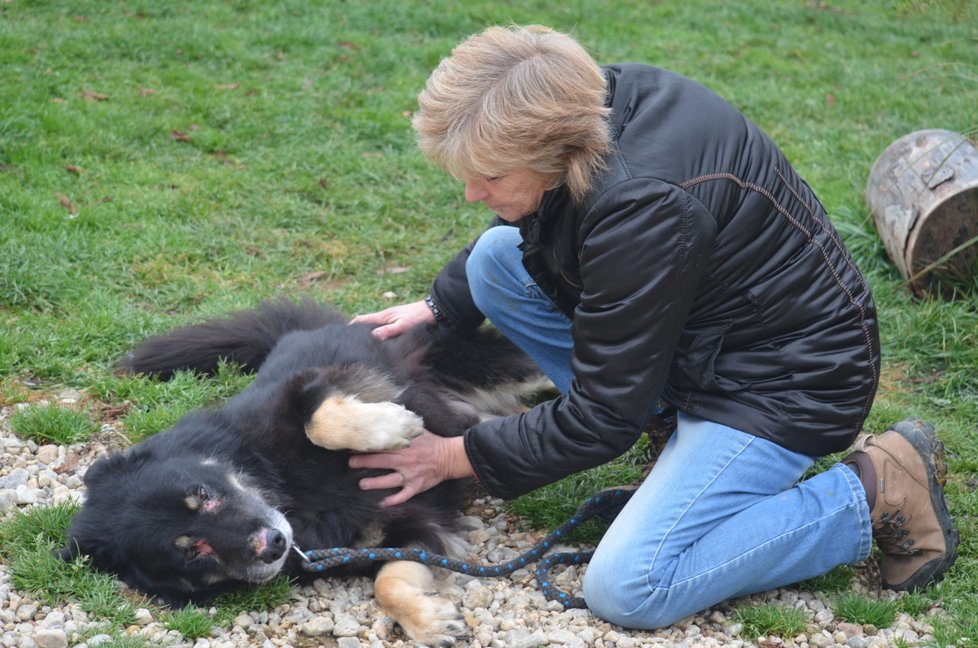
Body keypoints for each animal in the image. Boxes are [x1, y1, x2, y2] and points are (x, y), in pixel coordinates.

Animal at [59, 302, 540, 644]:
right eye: (191, 551)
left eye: (204, 494)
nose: (273, 544)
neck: (287, 491)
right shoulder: (398, 535)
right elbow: (389, 582)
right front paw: (432, 621)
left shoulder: (320, 383)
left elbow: (319, 416)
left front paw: (394, 426)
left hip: (482, 363)